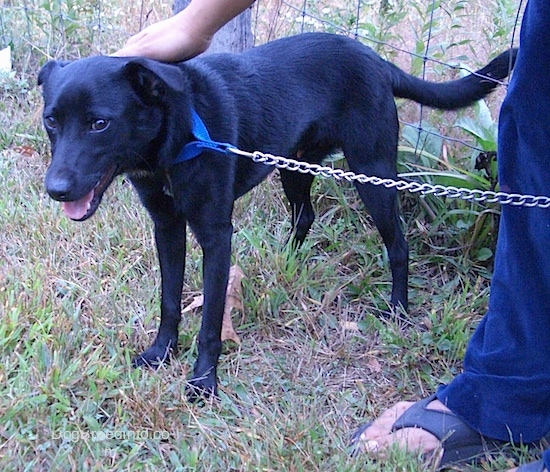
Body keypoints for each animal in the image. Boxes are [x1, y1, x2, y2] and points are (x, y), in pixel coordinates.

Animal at [38, 31, 516, 396]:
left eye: (100, 123)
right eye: (51, 121)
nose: (55, 190)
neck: (178, 135)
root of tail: (376, 60)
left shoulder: (216, 234)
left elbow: (210, 319)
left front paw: (203, 380)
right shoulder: (167, 226)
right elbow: (169, 299)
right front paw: (161, 353)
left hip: (372, 172)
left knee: (397, 243)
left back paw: (397, 309)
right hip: (295, 165)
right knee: (305, 216)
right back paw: (287, 259)